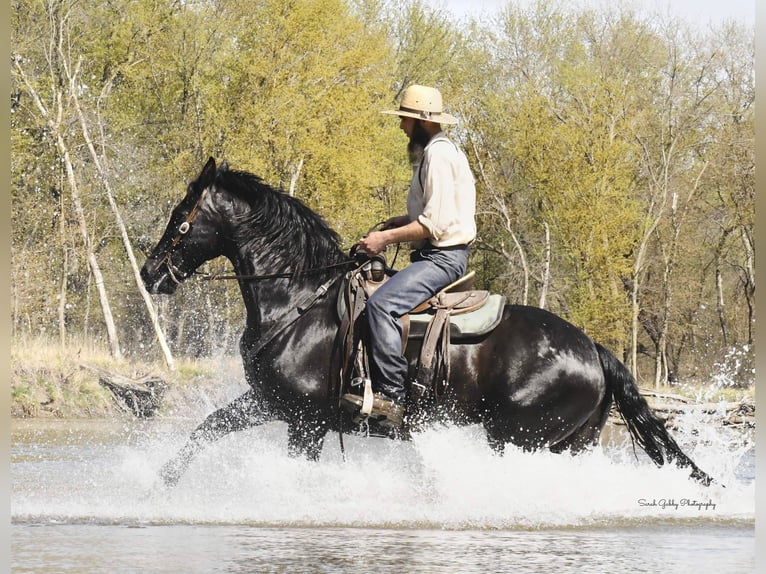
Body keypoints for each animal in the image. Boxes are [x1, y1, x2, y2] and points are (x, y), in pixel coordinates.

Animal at [140, 159, 712, 490]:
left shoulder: (304, 420)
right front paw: (159, 481)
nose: (149, 273)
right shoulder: (268, 403)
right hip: (569, 443)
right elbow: (206, 429)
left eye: (181, 216)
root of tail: (593, 349)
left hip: (519, 436)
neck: (298, 303)